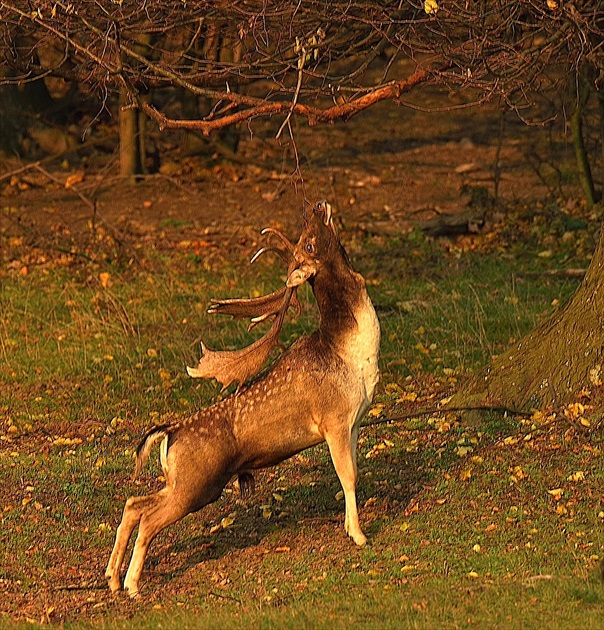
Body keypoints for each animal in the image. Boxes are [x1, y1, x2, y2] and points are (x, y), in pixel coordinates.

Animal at [103, 202, 378, 596]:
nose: (316, 205)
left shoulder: (355, 422)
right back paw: (132, 584)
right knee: (148, 519)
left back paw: (112, 577)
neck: (352, 352)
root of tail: (169, 432)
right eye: (309, 244)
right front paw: (358, 535)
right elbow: (349, 476)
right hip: (196, 485)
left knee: (133, 504)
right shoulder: (334, 420)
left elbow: (352, 474)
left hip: (185, 483)